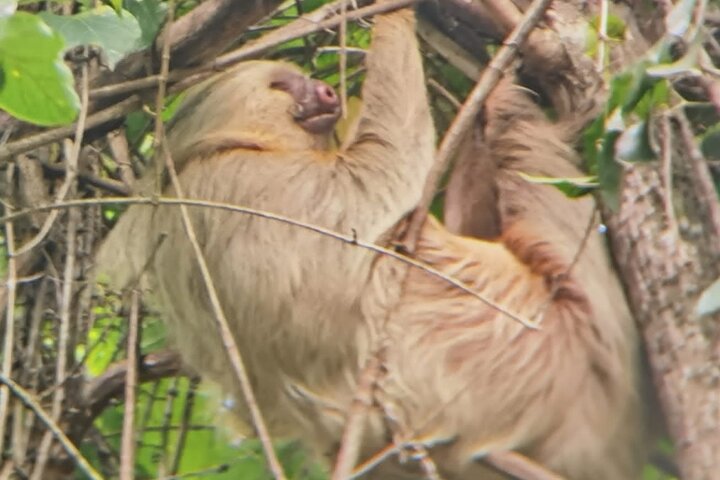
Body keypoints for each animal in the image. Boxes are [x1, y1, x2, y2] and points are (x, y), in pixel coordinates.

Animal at [96, 5, 648, 479]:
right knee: (537, 177)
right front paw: (399, 12)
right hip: (553, 351)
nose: (323, 90)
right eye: (281, 86)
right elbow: (386, 168)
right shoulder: (275, 187)